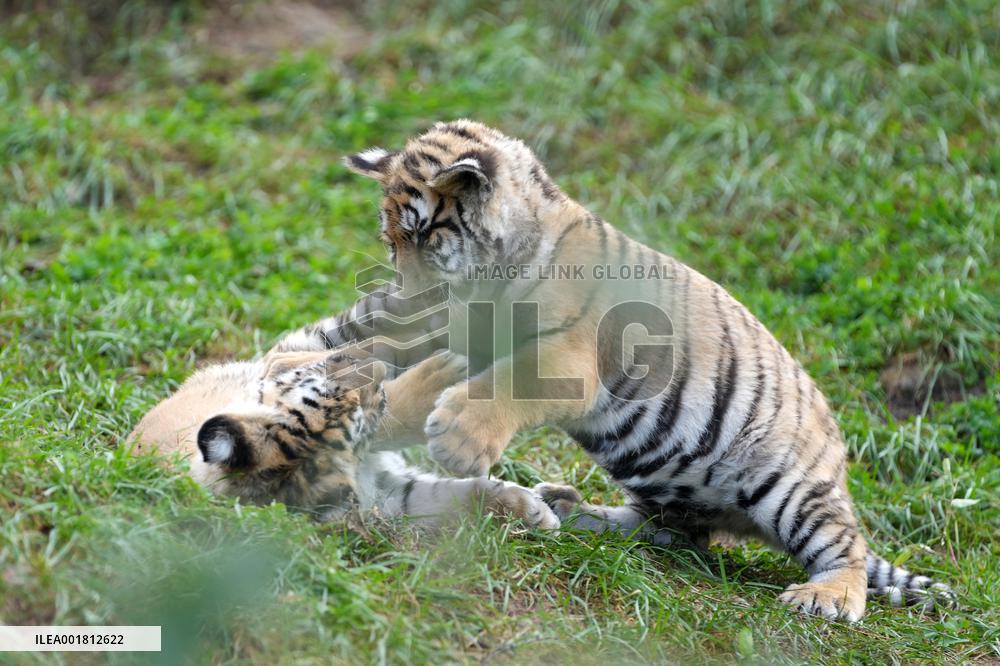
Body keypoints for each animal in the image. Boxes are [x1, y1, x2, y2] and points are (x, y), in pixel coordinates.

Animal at [127, 339, 559, 529]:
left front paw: (530, 509)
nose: (377, 371)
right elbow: (446, 497)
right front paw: (535, 510)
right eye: (354, 416)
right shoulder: (384, 495)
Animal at [335, 119, 955, 621]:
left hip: (788, 484)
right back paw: (571, 509)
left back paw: (826, 598)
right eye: (392, 241)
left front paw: (457, 436)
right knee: (678, 534)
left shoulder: (568, 359)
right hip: (667, 483)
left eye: (422, 235)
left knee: (844, 544)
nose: (407, 295)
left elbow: (510, 383)